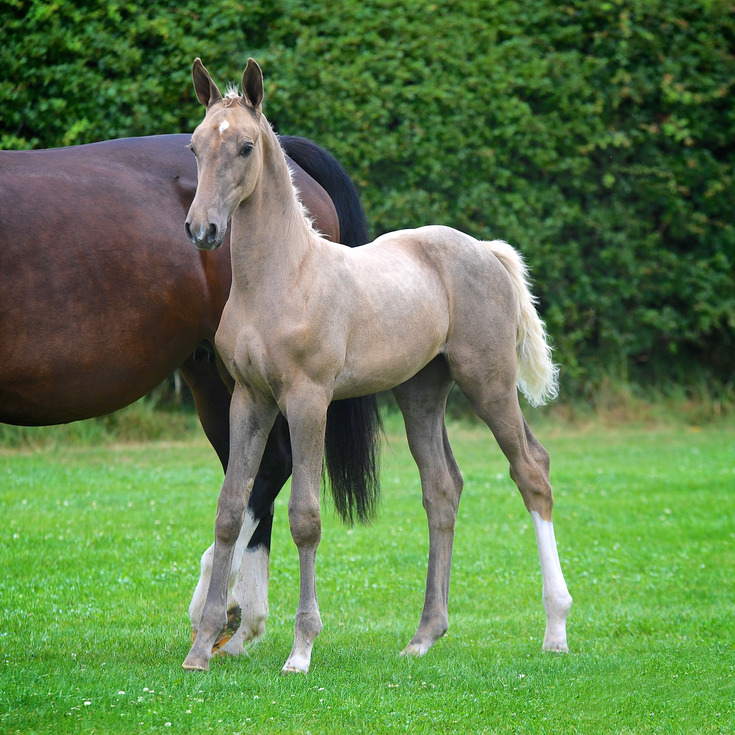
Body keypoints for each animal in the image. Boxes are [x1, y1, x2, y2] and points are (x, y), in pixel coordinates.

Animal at [181, 60, 572, 676]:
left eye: (245, 147)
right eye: (195, 146)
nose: (203, 230)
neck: (283, 277)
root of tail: (485, 249)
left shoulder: (308, 400)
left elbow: (305, 517)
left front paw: (301, 650)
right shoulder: (250, 398)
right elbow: (230, 509)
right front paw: (201, 647)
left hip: (488, 382)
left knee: (531, 470)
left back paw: (555, 628)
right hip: (421, 392)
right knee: (442, 489)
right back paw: (424, 636)